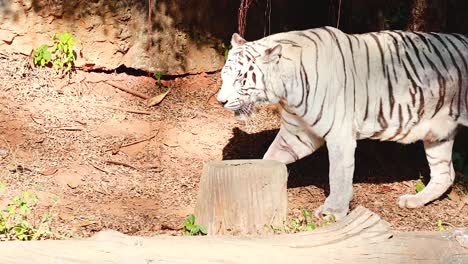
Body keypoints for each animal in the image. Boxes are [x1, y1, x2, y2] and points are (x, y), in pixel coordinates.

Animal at [217, 25, 468, 220]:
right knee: (446, 173)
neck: (286, 91)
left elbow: (338, 174)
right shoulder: (298, 134)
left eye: (240, 79)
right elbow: (271, 157)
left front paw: (332, 211)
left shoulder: (339, 136)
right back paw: (414, 201)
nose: (221, 101)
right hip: (438, 135)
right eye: (223, 75)